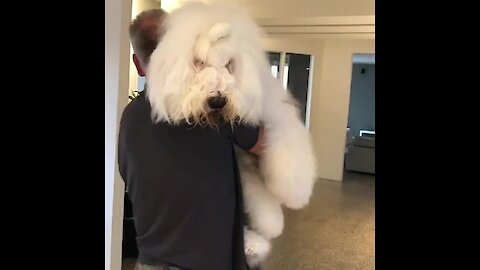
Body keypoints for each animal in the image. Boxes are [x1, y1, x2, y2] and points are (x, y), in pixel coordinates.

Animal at [148, 2, 316, 268]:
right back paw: (254, 243)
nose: (217, 101)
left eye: (229, 63)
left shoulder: (271, 111)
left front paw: (295, 191)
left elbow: (287, 141)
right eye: (199, 62)